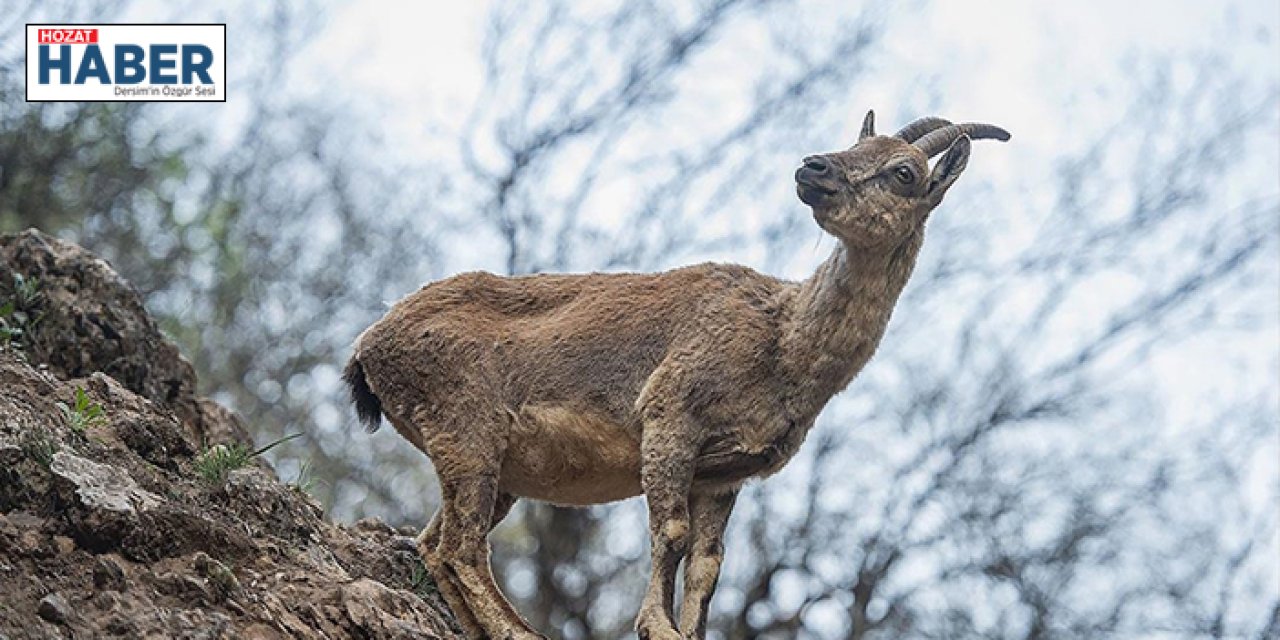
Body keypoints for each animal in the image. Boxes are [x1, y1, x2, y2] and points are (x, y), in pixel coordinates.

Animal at [343, 112, 1008, 637]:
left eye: (904, 173)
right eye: (854, 141)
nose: (813, 168)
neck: (783, 343)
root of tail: (368, 345)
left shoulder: (727, 472)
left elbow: (709, 564)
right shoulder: (670, 418)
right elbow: (671, 532)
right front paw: (655, 628)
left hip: (492, 462)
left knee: (436, 544)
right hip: (469, 427)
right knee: (460, 548)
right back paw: (522, 632)